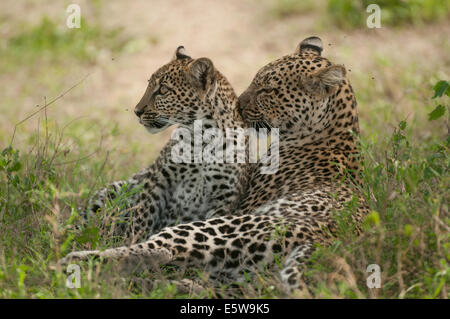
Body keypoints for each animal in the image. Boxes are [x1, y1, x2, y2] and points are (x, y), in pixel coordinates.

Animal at [80, 46, 250, 244]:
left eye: (163, 90)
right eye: (149, 85)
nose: (137, 111)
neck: (203, 138)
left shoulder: (224, 199)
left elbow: (207, 227)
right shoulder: (158, 180)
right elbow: (142, 215)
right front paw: (131, 242)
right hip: (113, 190)